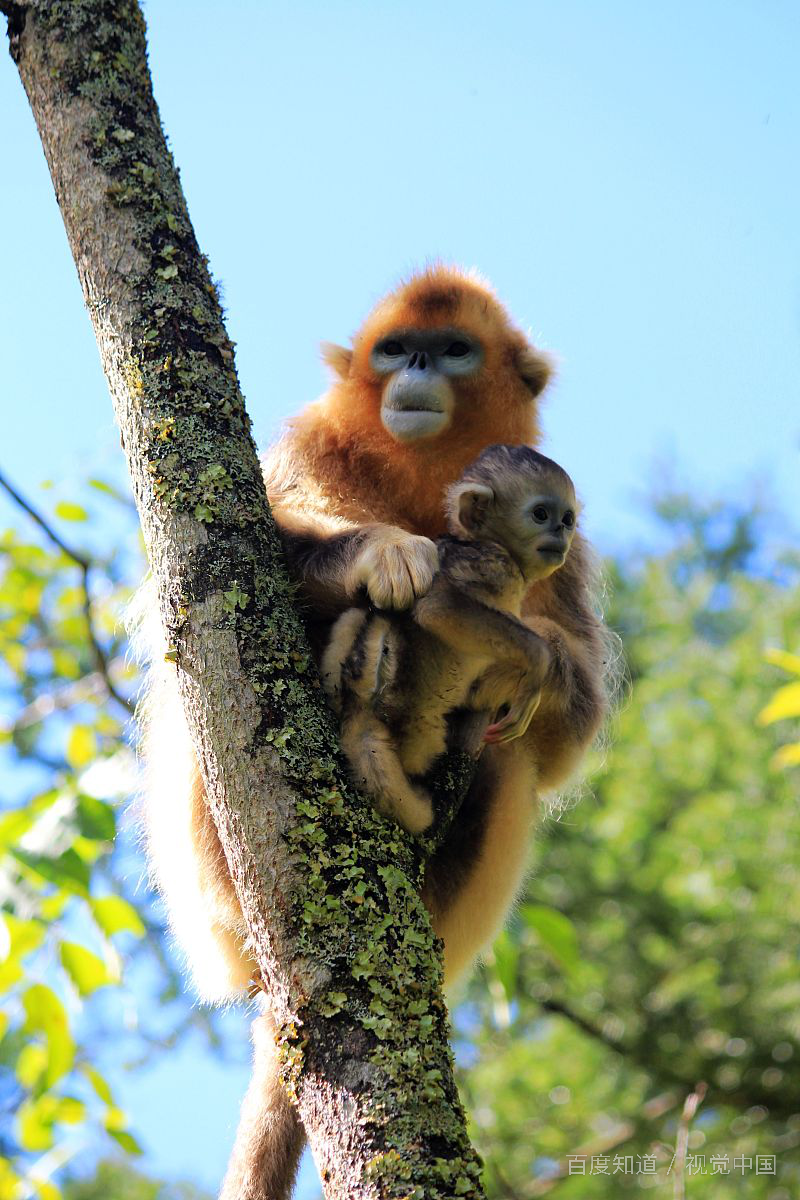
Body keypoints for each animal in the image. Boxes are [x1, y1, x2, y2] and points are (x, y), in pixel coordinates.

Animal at [321, 444, 578, 835]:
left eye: (567, 518)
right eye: (540, 514)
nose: (561, 532)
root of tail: (359, 706)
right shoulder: (492, 563)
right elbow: (436, 608)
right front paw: (539, 664)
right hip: (422, 726)